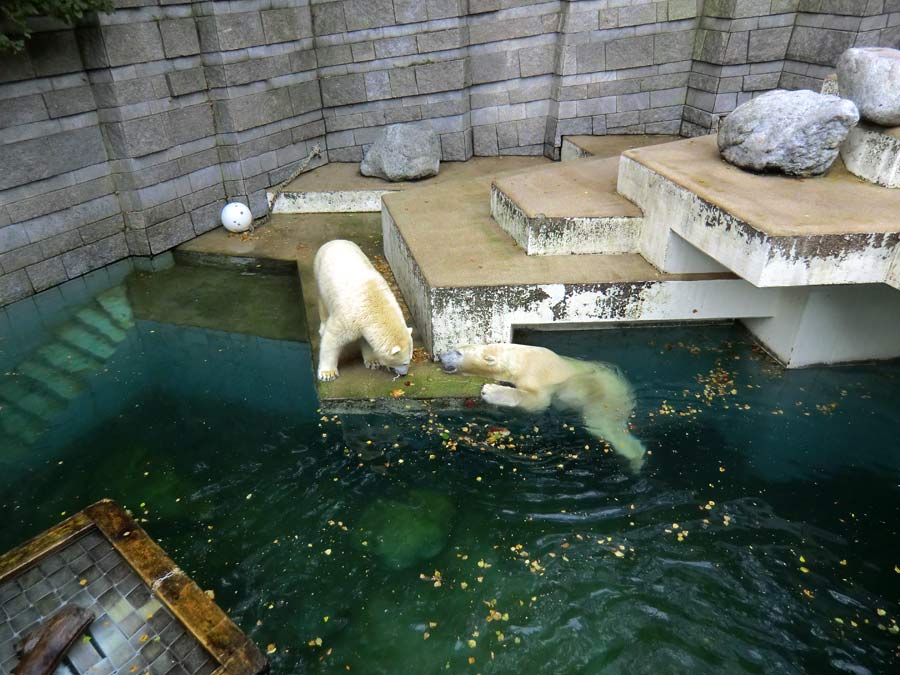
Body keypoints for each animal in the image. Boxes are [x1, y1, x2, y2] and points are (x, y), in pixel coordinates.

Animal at [312, 240, 414, 382]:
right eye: (404, 363)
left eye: (410, 359)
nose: (404, 374)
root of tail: (334, 241)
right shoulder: (348, 318)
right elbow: (332, 339)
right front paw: (328, 374)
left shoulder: (365, 322)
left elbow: (367, 341)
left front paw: (373, 362)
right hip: (319, 273)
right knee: (322, 303)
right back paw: (322, 327)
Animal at [438, 344, 644, 470]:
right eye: (455, 347)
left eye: (458, 353)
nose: (440, 356)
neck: (520, 359)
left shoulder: (537, 374)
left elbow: (536, 401)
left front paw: (489, 390)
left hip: (604, 397)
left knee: (604, 425)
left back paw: (637, 458)